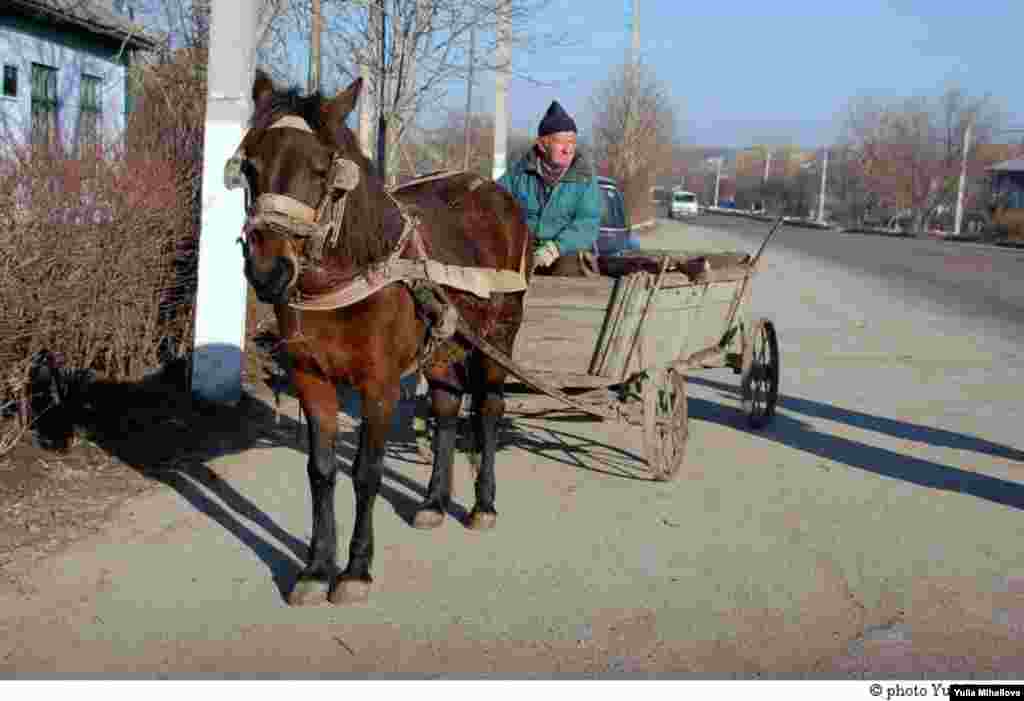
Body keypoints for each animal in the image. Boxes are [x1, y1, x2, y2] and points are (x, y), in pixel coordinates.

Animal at [233, 71, 532, 605]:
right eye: (251, 164)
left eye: (320, 170)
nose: (268, 273)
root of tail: (497, 196)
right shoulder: (311, 379)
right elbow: (321, 471)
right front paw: (316, 567)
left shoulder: (380, 385)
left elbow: (366, 472)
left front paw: (355, 570)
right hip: (444, 345)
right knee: (446, 408)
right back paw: (434, 500)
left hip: (498, 337)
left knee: (488, 412)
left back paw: (483, 505)